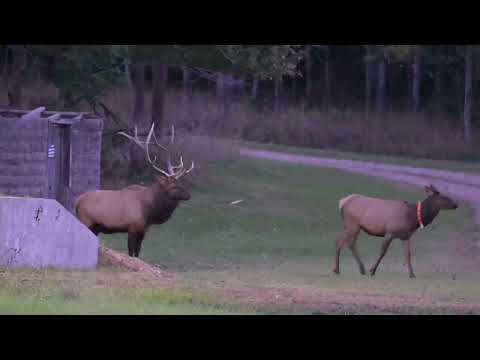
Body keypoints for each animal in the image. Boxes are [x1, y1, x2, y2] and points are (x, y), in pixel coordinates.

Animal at [74, 122, 193, 258]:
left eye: (181, 183)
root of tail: (77, 202)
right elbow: (131, 253)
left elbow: (137, 253)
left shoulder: (143, 229)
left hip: (95, 228)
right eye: (173, 186)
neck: (149, 211)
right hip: (86, 221)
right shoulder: (132, 226)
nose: (188, 195)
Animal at [332, 186, 460, 278]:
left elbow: (408, 255)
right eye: (444, 197)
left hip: (353, 226)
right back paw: (350, 269)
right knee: (345, 242)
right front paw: (372, 270)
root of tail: (342, 202)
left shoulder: (406, 236)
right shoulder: (390, 232)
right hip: (352, 224)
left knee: (344, 242)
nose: (456, 204)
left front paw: (412, 274)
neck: (412, 218)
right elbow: (382, 252)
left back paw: (347, 269)